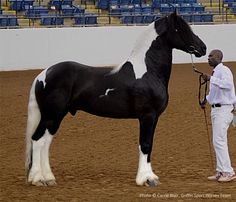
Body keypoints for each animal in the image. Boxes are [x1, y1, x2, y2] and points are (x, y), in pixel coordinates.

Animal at [26, 12, 206, 186]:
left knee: (46, 142)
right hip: (51, 115)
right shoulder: (147, 116)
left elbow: (150, 145)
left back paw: (49, 178)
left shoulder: (154, 118)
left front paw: (151, 177)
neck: (148, 71)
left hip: (56, 116)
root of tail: (43, 74)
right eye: (181, 28)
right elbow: (145, 144)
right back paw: (38, 179)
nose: (203, 48)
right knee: (37, 140)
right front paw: (146, 179)